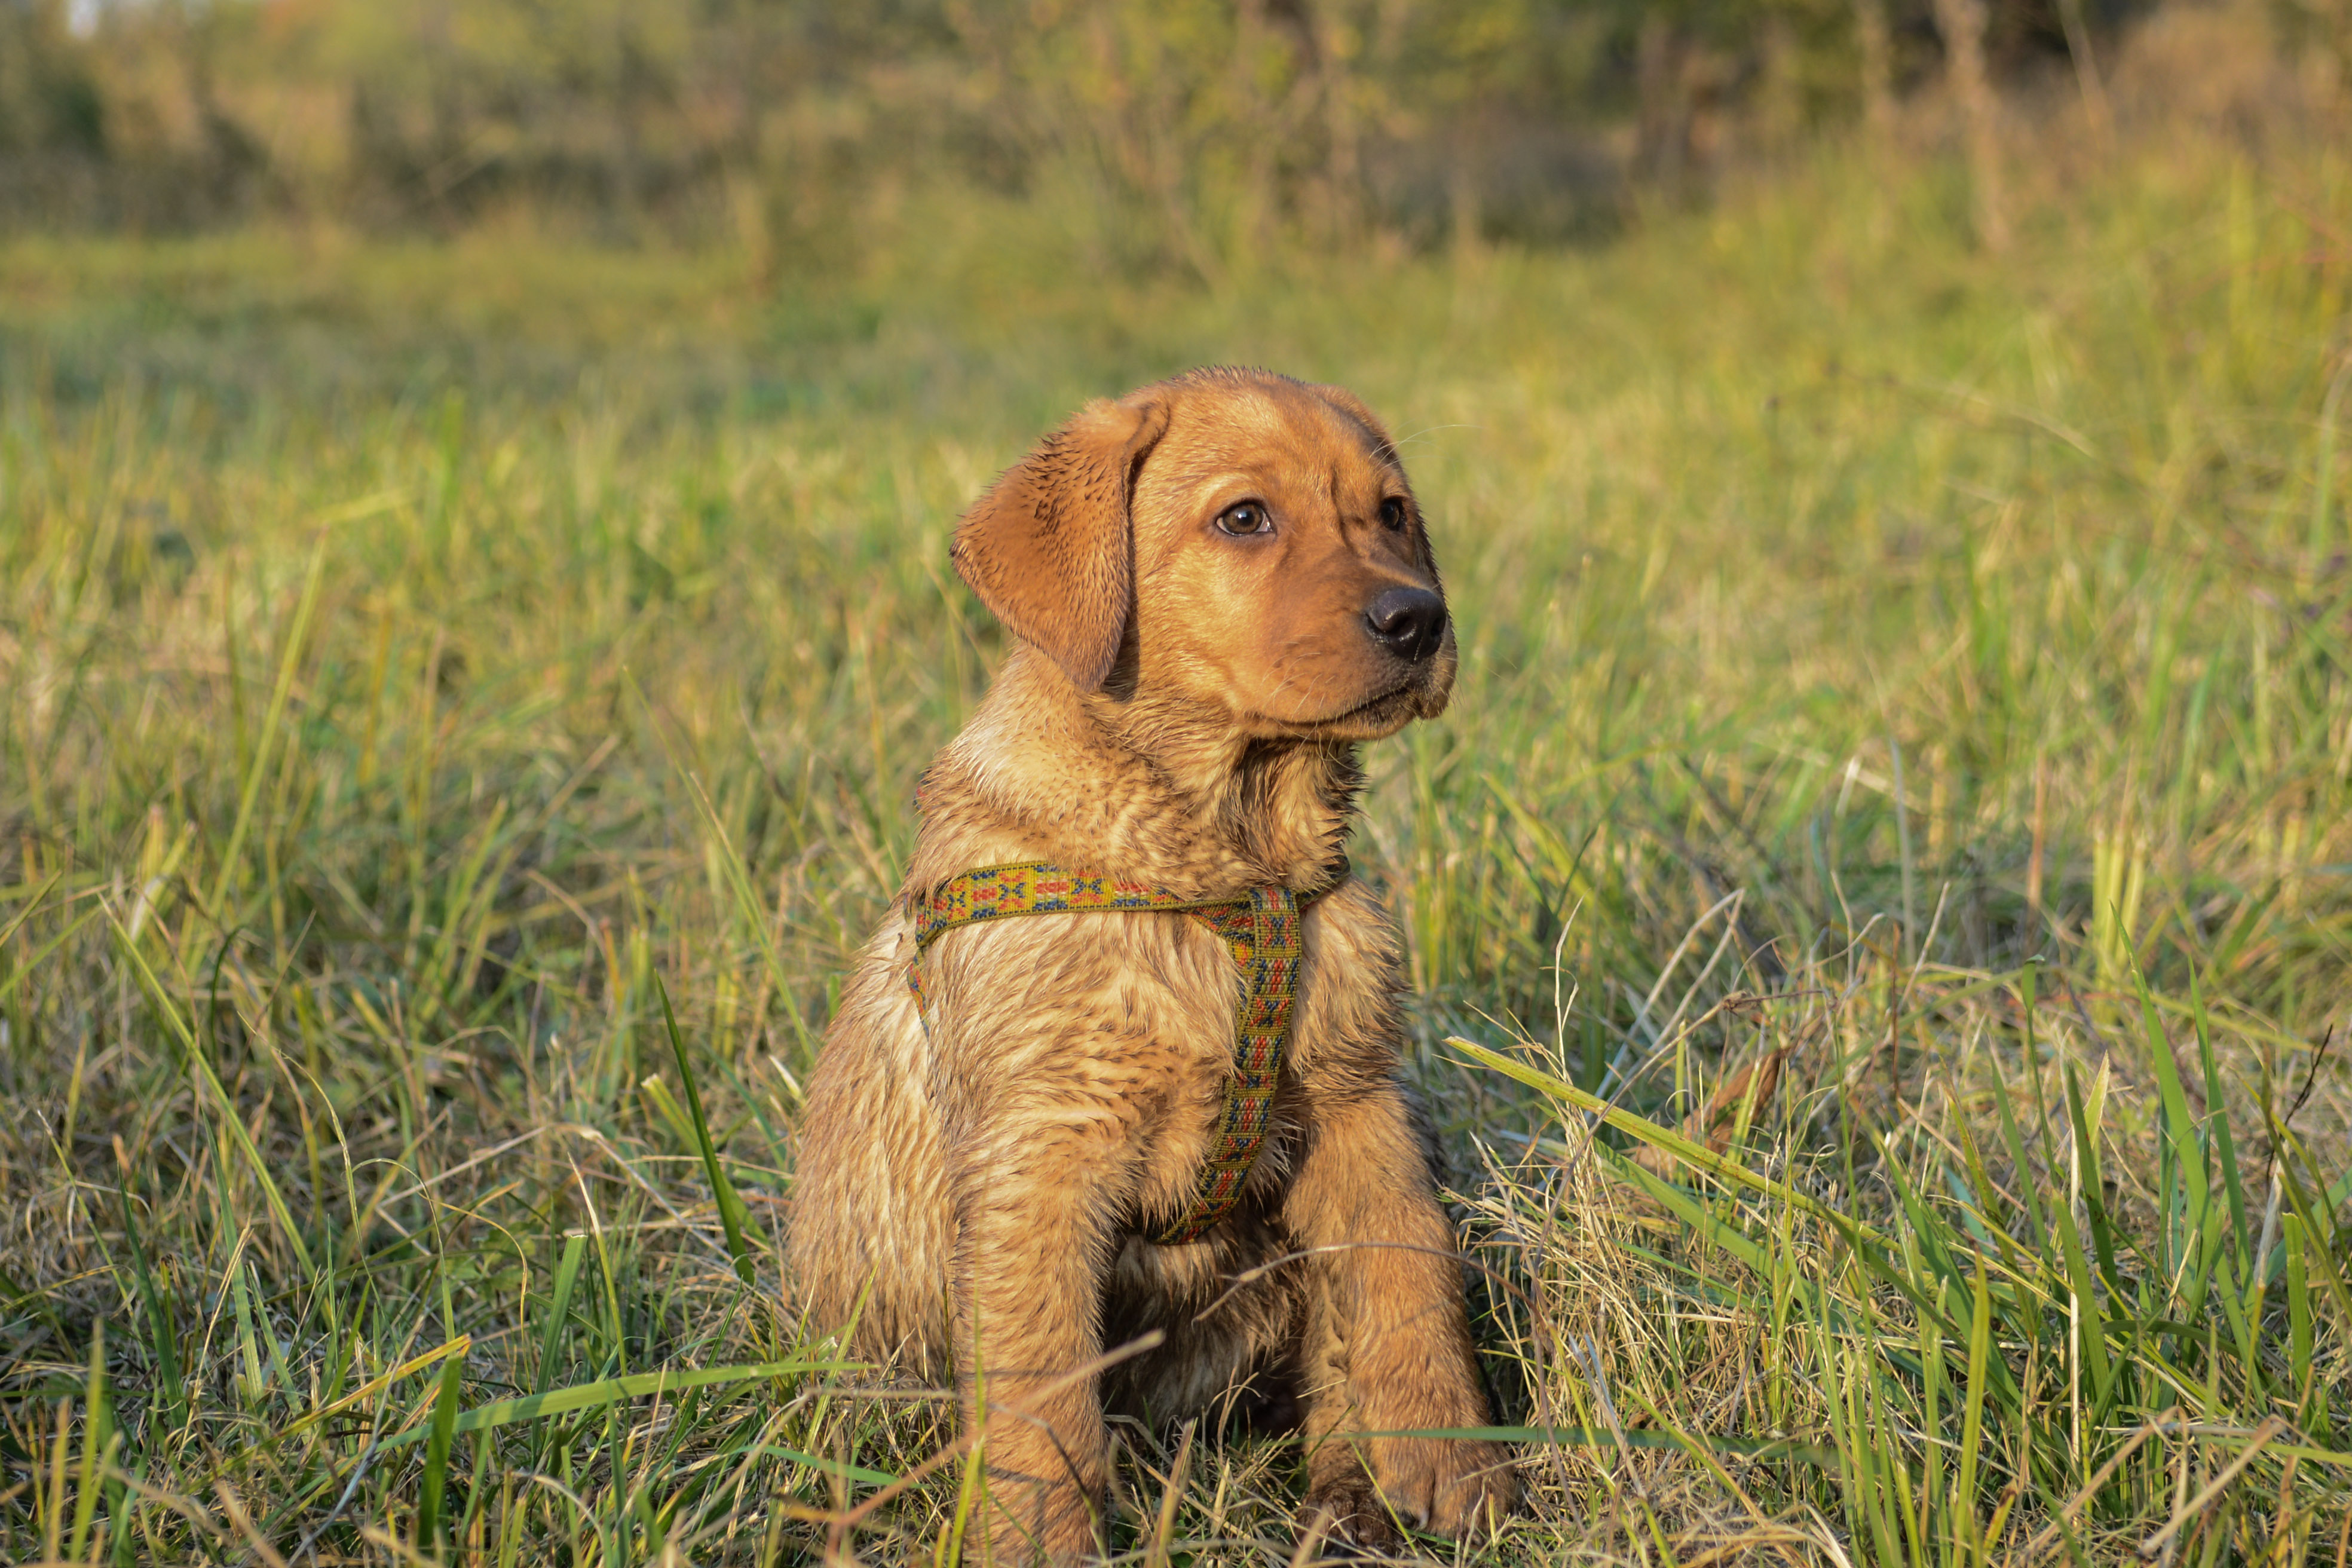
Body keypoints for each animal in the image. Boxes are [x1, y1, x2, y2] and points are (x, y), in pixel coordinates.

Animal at [790, 364, 1514, 1561]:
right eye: (1245, 518)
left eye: (1394, 514)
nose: (1421, 619)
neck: (1228, 862)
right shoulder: (1040, 1159)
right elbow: (1043, 1397)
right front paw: (1038, 1544)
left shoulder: (1359, 1104)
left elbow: (1408, 1274)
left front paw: (1451, 1460)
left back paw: (1348, 1503)